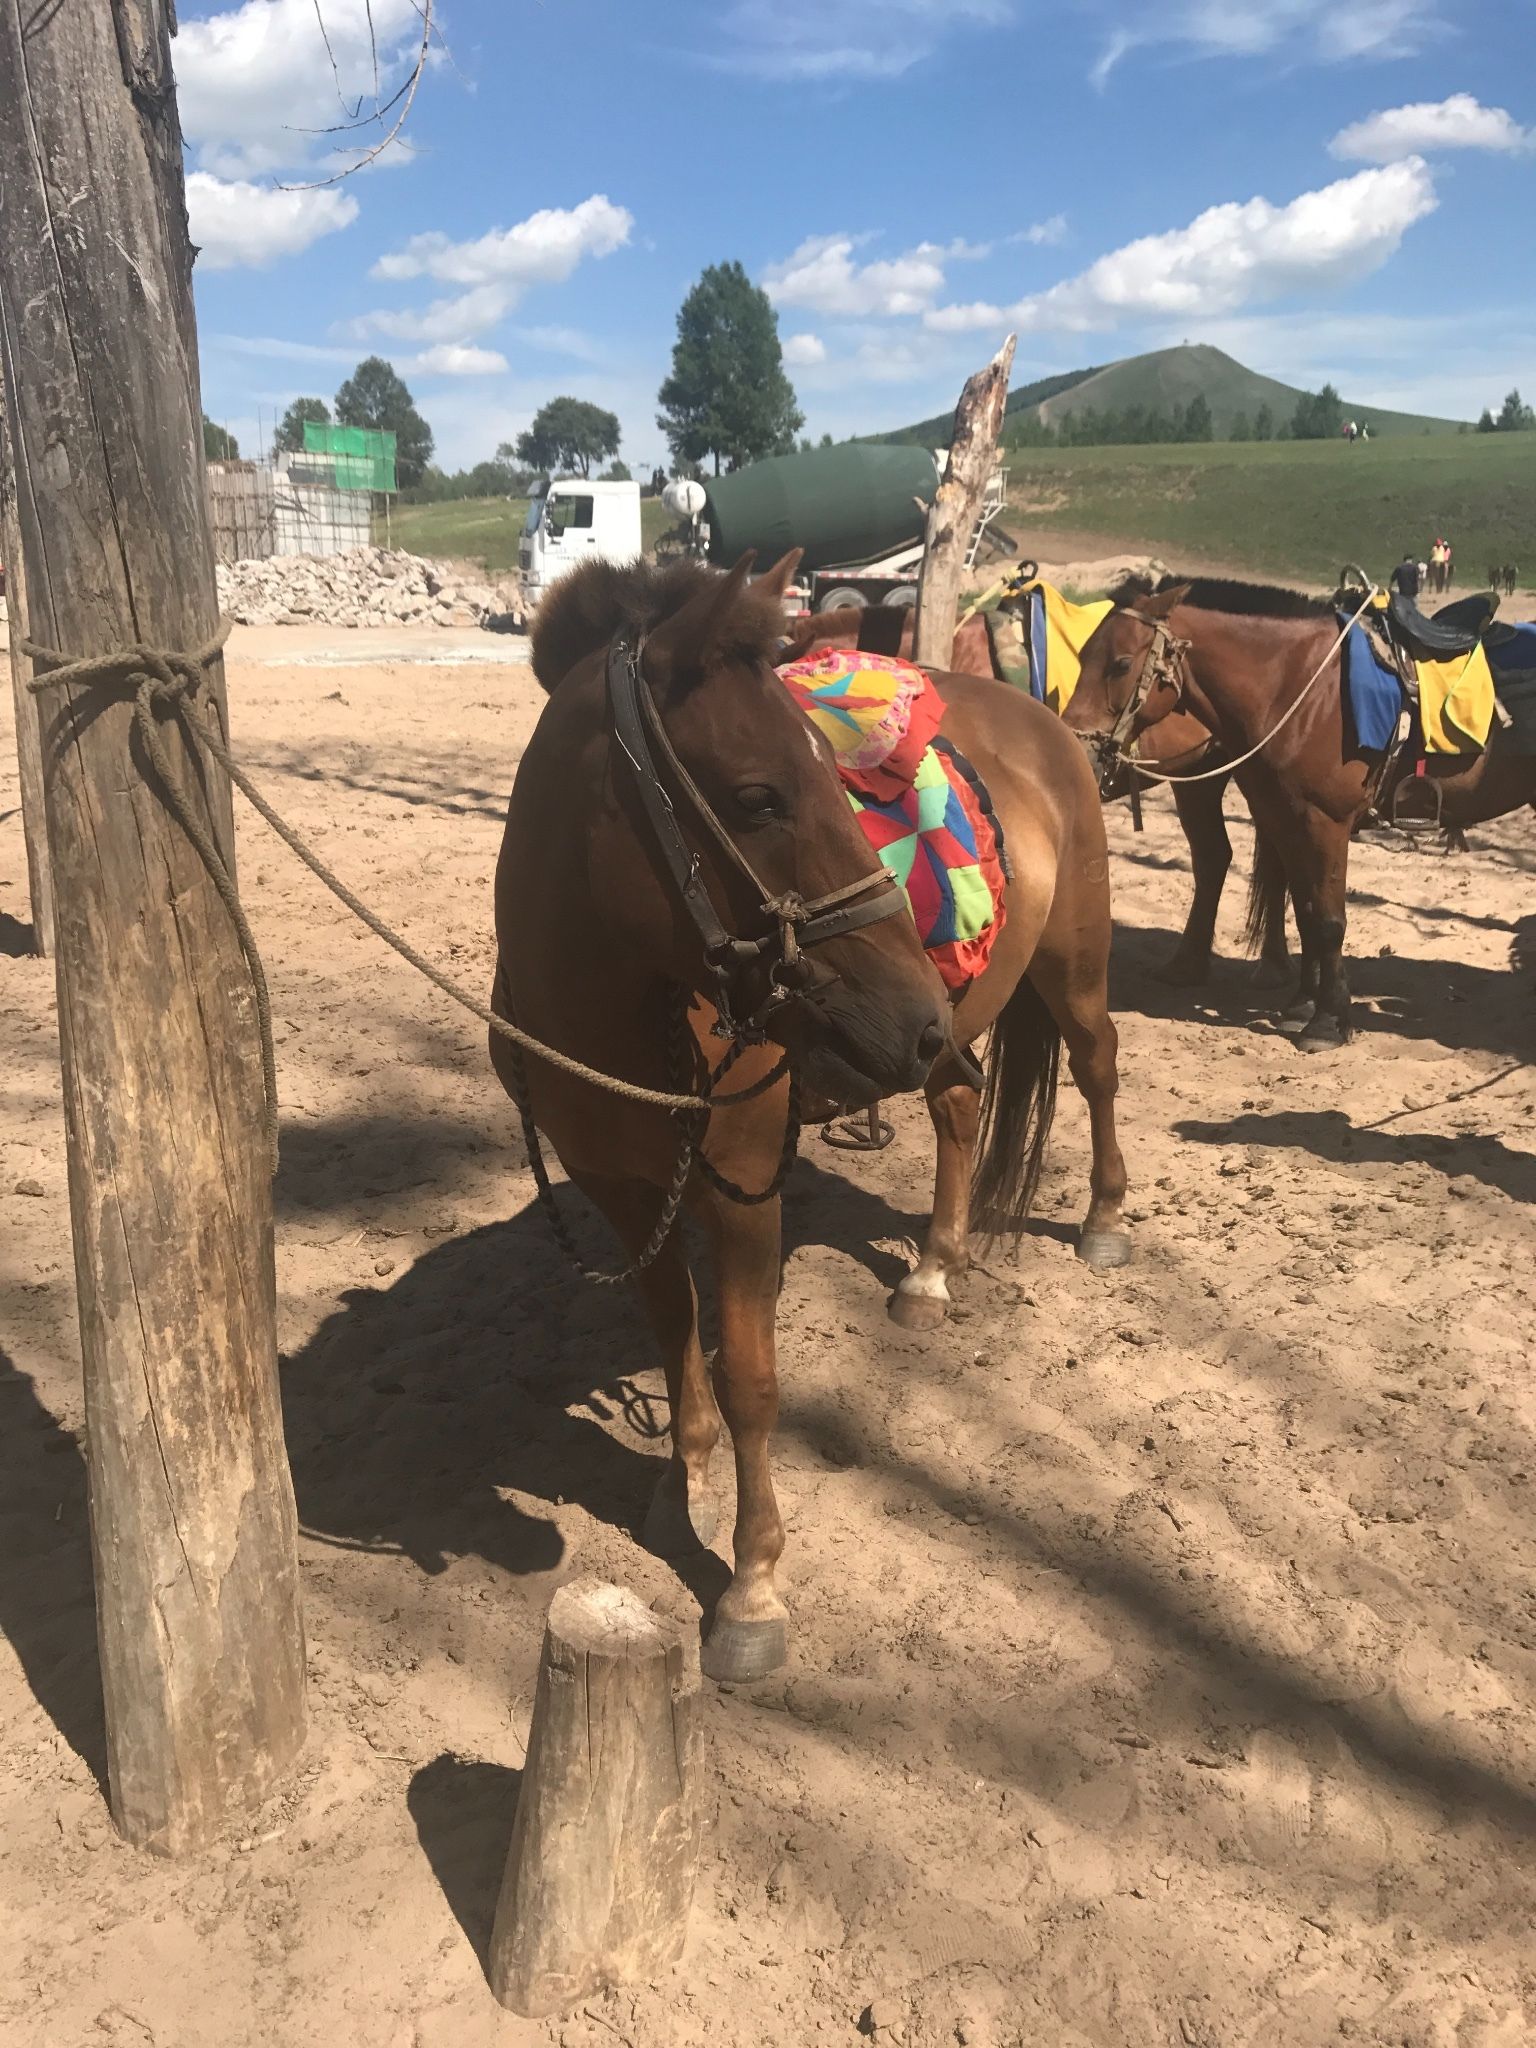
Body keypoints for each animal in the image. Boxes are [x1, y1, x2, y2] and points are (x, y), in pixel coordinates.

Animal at [493, 548, 1130, 1679]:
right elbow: (675, 1341)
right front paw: (680, 1488)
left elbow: (750, 1379)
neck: (618, 1008)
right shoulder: (626, 1194)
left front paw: (751, 1586)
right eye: (757, 796)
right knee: (959, 1106)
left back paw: (1102, 1216)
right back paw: (932, 1269)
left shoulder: (745, 1191)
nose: (916, 1014)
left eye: (831, 782)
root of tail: (1044, 719)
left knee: (1098, 1066)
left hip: (1068, 971)